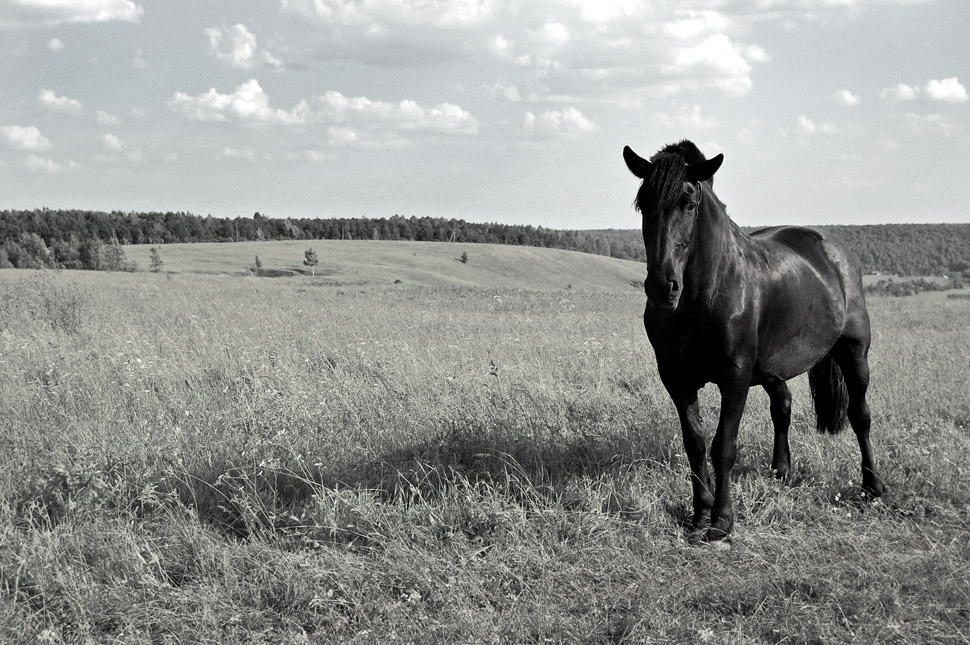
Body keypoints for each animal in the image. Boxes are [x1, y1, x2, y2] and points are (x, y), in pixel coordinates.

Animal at [620, 141, 884, 544]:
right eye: (642, 204)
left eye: (689, 204)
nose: (662, 288)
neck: (705, 296)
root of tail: (833, 248)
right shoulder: (677, 379)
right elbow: (695, 444)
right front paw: (699, 514)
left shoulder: (736, 377)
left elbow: (724, 446)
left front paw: (721, 521)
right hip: (774, 367)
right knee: (783, 406)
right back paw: (781, 471)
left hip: (854, 352)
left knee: (860, 415)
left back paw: (874, 487)